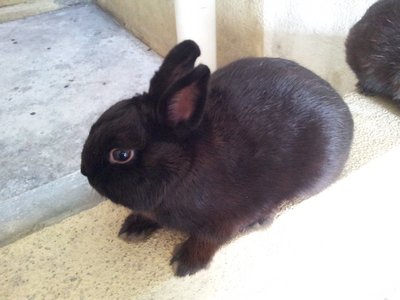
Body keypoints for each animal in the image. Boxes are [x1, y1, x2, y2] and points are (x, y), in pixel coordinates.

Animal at [80, 39, 354, 276]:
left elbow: (209, 239)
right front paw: (133, 228)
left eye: (121, 154)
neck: (185, 166)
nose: (85, 172)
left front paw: (186, 262)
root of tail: (344, 110)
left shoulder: (226, 218)